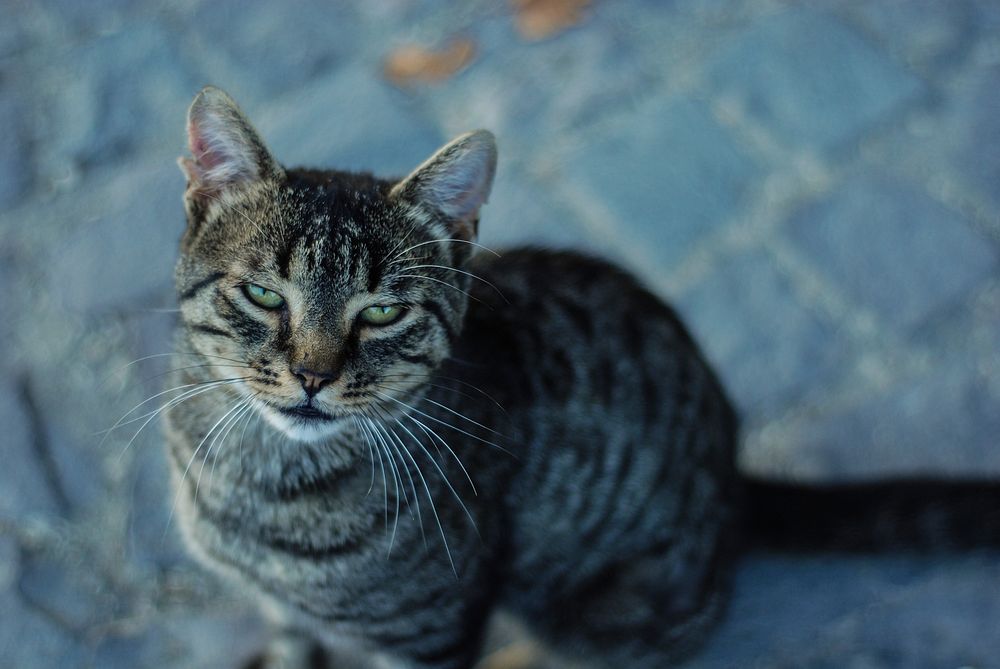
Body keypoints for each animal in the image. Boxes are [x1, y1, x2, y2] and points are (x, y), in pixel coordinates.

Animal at [164, 88, 1000, 668]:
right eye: (264, 294)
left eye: (383, 312)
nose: (312, 374)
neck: (257, 480)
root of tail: (734, 476)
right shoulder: (284, 610)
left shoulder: (431, 631)